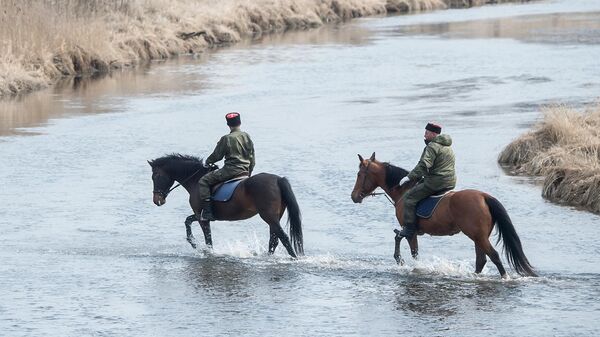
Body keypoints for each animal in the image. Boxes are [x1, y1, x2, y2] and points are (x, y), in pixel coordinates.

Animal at [148, 154, 302, 258]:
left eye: (155, 176)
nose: (157, 200)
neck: (195, 180)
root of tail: (278, 179)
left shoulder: (202, 217)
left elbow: (207, 238)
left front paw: (203, 249)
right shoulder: (200, 215)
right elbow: (188, 221)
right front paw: (193, 243)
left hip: (269, 217)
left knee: (284, 238)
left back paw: (294, 258)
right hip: (274, 217)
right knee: (274, 240)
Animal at [350, 153, 536, 278]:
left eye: (359, 175)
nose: (354, 197)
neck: (403, 191)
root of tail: (484, 196)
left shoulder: (409, 230)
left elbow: (406, 245)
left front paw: (401, 261)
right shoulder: (412, 232)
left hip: (478, 236)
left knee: (494, 256)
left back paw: (504, 277)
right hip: (479, 237)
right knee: (481, 259)